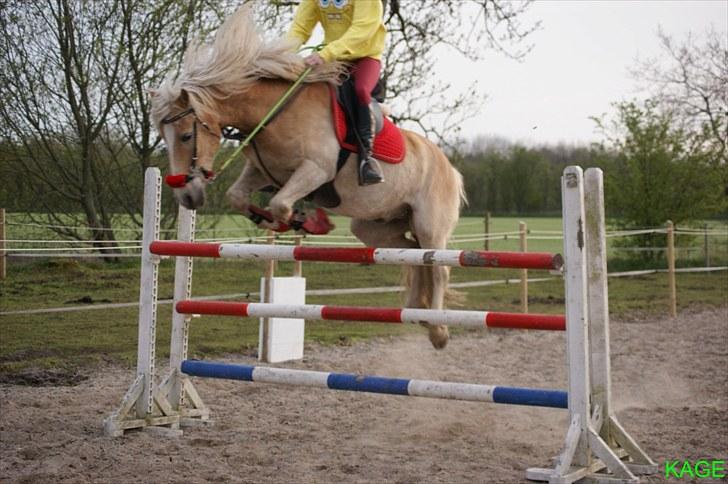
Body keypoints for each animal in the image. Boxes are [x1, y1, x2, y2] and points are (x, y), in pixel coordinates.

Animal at [149, 6, 466, 348]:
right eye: (164, 138)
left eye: (184, 136)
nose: (186, 196)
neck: (274, 112)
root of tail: (450, 168)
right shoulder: (262, 171)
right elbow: (239, 197)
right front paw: (279, 221)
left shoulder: (316, 169)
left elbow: (280, 203)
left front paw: (306, 221)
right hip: (374, 225)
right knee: (412, 255)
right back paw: (415, 311)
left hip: (430, 224)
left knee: (438, 267)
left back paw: (438, 331)